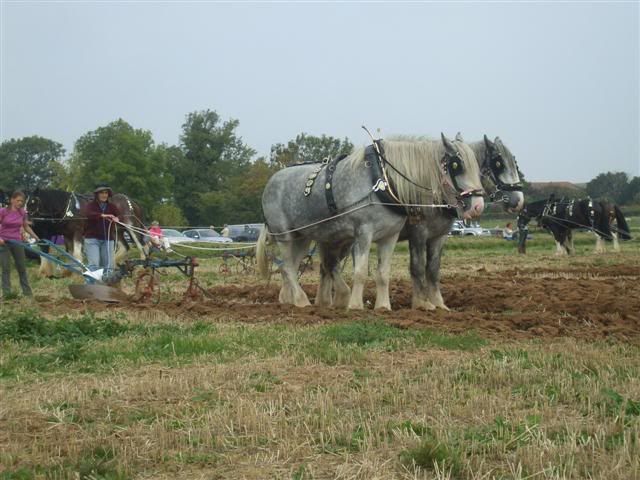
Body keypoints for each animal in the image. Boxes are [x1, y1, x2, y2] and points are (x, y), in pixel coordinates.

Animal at [256, 133, 484, 310]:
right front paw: (356, 305)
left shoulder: (392, 236)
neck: (384, 181)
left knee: (303, 266)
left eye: (478, 167)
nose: (478, 206)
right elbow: (361, 271)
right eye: (457, 165)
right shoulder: (367, 233)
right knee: (288, 266)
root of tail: (272, 180)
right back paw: (303, 300)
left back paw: (294, 299)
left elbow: (384, 273)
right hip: (284, 234)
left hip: (305, 236)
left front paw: (383, 306)